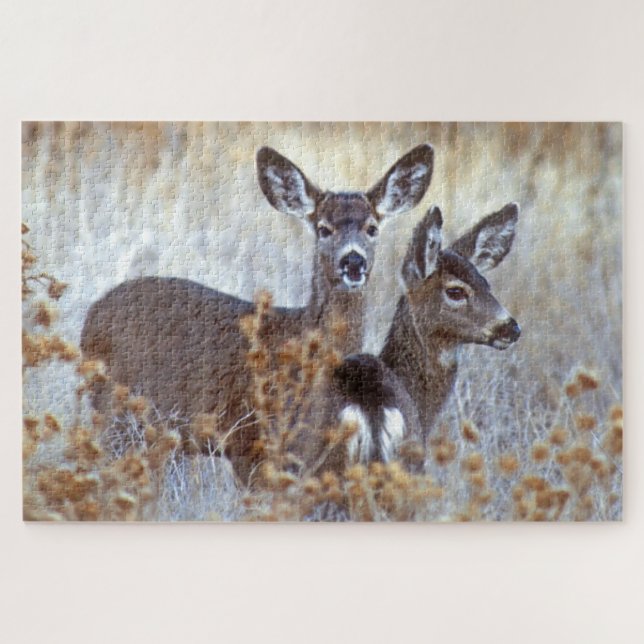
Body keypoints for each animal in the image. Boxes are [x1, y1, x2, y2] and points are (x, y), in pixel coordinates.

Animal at [80, 144, 435, 485]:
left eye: (372, 228)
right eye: (323, 228)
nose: (353, 261)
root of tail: (92, 313)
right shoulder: (247, 440)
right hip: (114, 412)